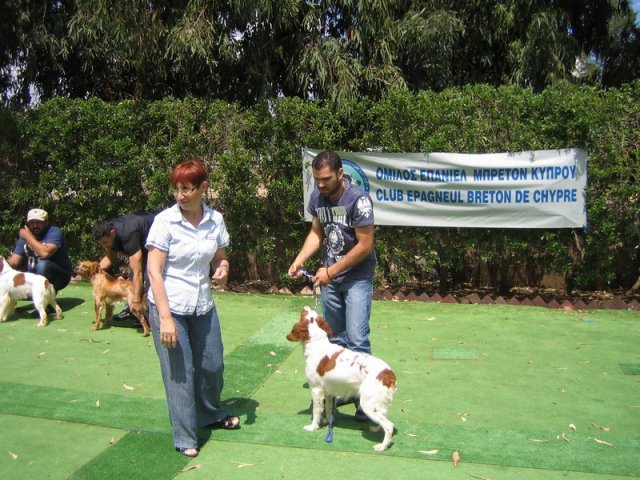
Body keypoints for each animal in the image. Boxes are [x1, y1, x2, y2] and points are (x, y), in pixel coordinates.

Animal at [284, 308, 396, 450]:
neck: (317, 344)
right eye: (313, 314)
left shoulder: (316, 389)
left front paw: (313, 427)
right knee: (385, 418)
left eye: (304, 314)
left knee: (389, 425)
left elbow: (316, 411)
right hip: (377, 403)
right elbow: (327, 408)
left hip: (368, 404)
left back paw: (382, 446)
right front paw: (327, 421)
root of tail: (388, 373)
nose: (305, 306)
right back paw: (376, 429)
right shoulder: (329, 392)